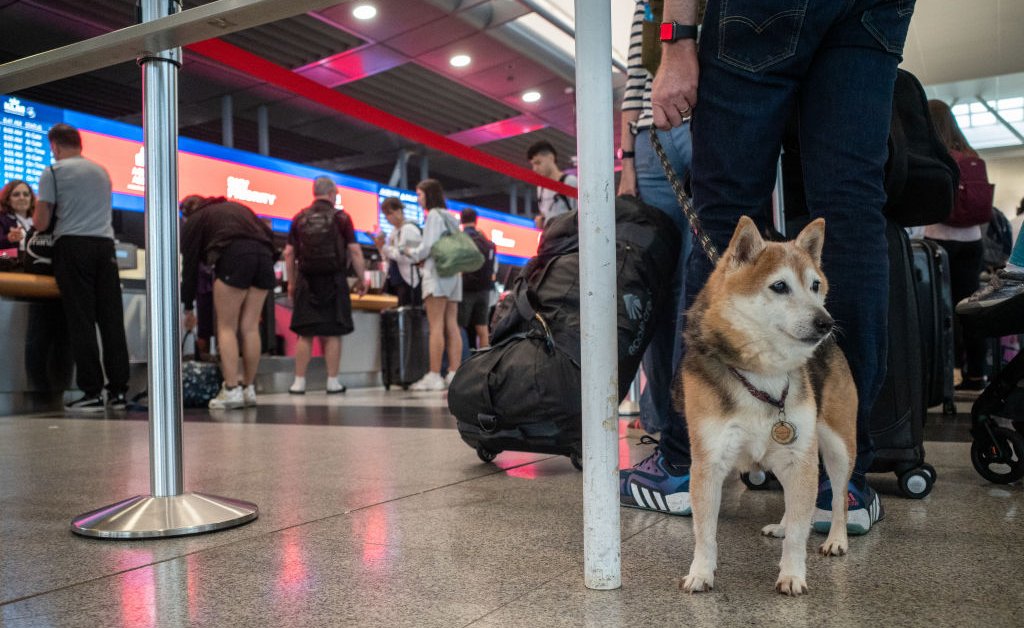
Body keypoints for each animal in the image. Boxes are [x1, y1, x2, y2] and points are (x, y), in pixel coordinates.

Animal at [679, 218, 856, 594]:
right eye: (779, 286)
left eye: (815, 285)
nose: (826, 322)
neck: (763, 373)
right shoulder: (709, 462)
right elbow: (705, 532)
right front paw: (701, 572)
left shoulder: (800, 456)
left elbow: (799, 536)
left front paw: (792, 575)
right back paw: (784, 524)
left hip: (838, 445)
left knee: (837, 498)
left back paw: (837, 539)